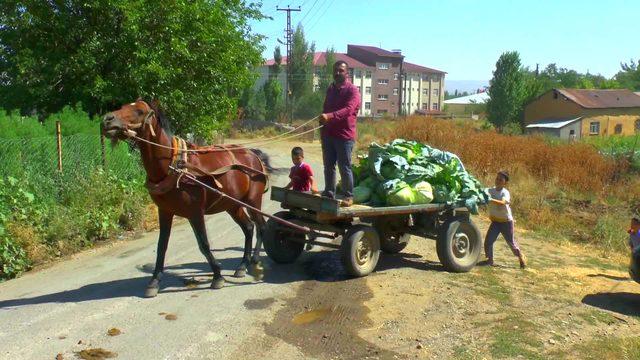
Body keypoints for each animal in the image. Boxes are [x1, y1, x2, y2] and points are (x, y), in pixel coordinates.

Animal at [102, 100, 270, 296]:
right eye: (122, 106)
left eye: (139, 111)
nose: (107, 119)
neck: (174, 165)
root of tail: (254, 155)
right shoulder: (165, 212)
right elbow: (162, 246)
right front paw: (154, 281)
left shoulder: (195, 213)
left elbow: (204, 244)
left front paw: (217, 276)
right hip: (232, 205)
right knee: (249, 227)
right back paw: (242, 265)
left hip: (252, 201)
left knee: (261, 226)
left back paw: (255, 259)